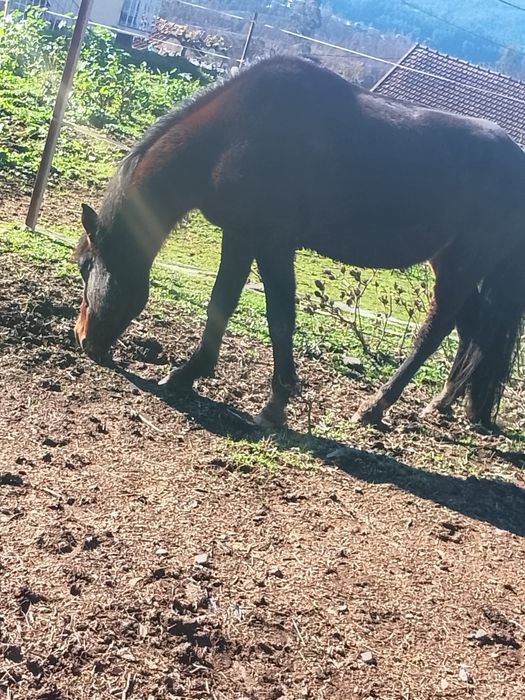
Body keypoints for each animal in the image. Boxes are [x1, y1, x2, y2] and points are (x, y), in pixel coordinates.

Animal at [75, 56, 525, 430]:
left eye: (84, 266)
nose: (83, 339)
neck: (232, 134)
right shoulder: (240, 235)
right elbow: (221, 301)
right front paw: (189, 374)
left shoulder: (272, 242)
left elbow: (280, 317)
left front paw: (275, 404)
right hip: (451, 262)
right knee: (472, 330)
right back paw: (444, 402)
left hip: (462, 264)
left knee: (436, 331)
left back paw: (375, 407)